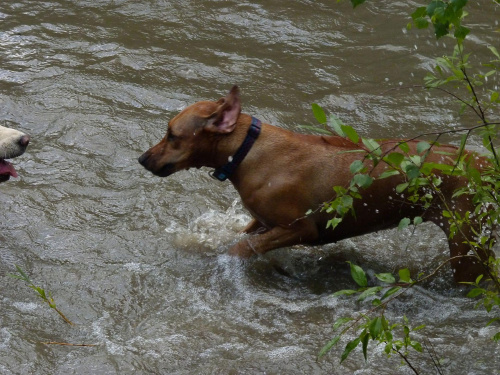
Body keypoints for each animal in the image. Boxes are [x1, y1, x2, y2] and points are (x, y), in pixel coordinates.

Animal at [139, 86, 494, 284]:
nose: (142, 159)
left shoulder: (300, 228)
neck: (248, 151)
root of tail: (484, 163)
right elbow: (234, 235)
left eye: (172, 135)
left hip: (466, 247)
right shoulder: (261, 221)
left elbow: (241, 248)